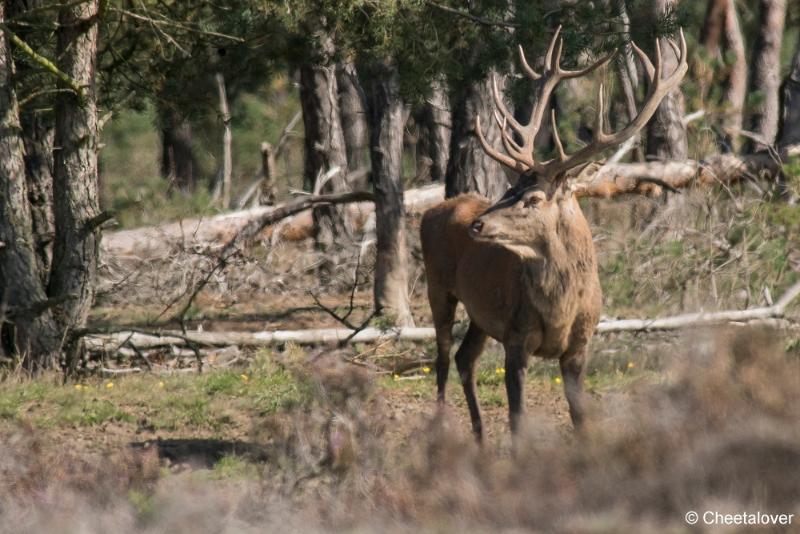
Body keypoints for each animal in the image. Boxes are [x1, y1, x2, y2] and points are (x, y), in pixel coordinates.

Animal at [418, 26, 688, 440]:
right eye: (508, 187)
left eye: (532, 198)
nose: (477, 225)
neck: (561, 309)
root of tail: (431, 211)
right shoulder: (516, 339)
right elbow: (518, 420)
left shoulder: (579, 346)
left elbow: (581, 418)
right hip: (438, 288)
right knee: (443, 359)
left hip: (481, 314)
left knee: (465, 359)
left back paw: (480, 439)